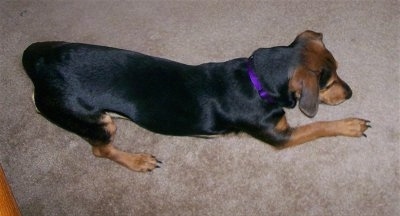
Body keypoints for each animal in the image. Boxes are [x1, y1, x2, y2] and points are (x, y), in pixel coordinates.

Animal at [23, 30, 370, 172]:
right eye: (329, 83)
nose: (350, 93)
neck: (256, 79)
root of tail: (39, 65)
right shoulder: (280, 136)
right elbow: (320, 127)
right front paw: (352, 125)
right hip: (95, 121)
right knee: (100, 150)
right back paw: (138, 161)